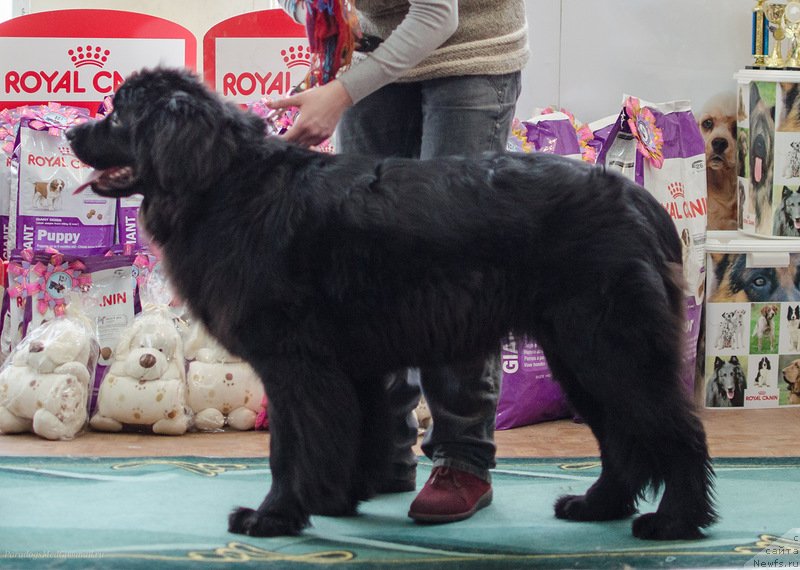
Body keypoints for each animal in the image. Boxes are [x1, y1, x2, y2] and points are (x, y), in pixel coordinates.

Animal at [69, 66, 716, 536]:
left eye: (118, 113)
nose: (73, 133)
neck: (225, 183)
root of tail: (638, 201)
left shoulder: (294, 361)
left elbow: (289, 447)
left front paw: (274, 516)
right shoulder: (346, 364)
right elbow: (352, 431)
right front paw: (336, 499)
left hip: (609, 345)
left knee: (673, 429)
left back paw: (674, 522)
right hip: (576, 354)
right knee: (622, 436)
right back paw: (598, 506)